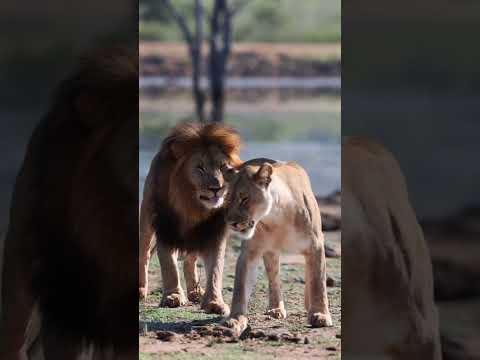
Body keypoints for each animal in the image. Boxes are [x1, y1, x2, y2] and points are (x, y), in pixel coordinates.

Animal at [141, 123, 242, 316]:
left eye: (223, 167)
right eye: (200, 167)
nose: (217, 188)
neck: (192, 207)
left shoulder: (214, 232)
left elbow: (216, 269)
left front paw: (214, 302)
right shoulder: (165, 227)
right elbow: (169, 266)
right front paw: (172, 297)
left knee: (190, 260)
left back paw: (195, 292)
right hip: (147, 220)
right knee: (144, 254)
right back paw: (141, 290)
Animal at [222, 158, 332, 334]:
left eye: (244, 198)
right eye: (226, 200)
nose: (231, 223)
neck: (276, 217)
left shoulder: (315, 245)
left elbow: (318, 282)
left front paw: (320, 315)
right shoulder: (249, 253)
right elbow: (240, 288)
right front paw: (235, 319)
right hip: (271, 253)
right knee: (273, 278)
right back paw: (275, 309)